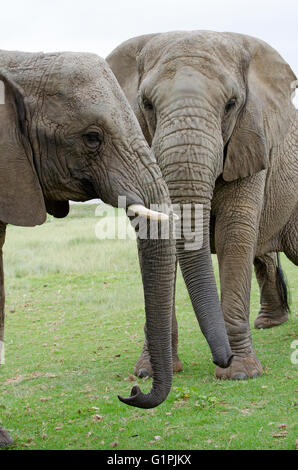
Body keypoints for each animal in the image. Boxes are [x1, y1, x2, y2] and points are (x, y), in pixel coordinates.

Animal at [107, 30, 298, 382]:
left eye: (231, 104)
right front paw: (149, 373)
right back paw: (267, 324)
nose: (221, 358)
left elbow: (233, 233)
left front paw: (241, 373)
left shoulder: (251, 137)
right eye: (146, 104)